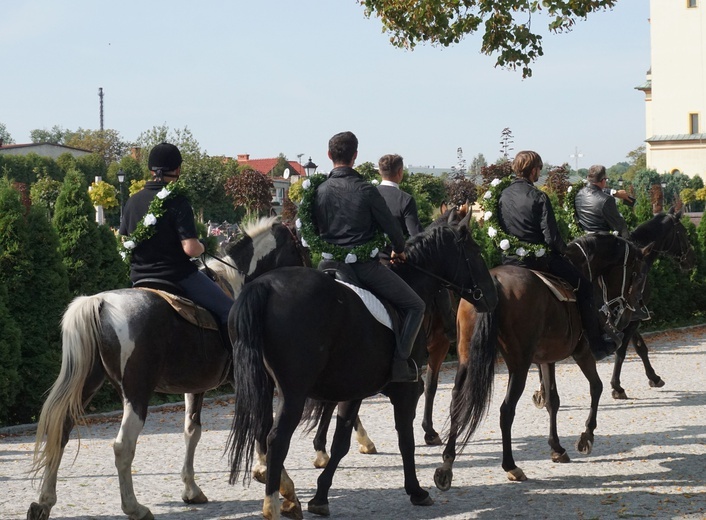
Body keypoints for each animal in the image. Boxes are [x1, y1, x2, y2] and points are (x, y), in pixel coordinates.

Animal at [27, 217, 308, 520]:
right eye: (301, 249)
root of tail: (100, 302)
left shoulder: (195, 387)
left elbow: (192, 431)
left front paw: (192, 489)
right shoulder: (254, 379)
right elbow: (261, 424)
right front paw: (281, 485)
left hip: (89, 383)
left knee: (61, 431)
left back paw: (44, 502)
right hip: (137, 392)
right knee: (123, 446)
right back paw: (135, 508)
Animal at [226, 219, 496, 520]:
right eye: (475, 253)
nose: (492, 297)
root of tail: (265, 286)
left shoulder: (354, 391)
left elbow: (341, 442)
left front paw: (320, 496)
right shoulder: (406, 390)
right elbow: (405, 439)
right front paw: (416, 490)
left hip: (265, 386)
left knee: (262, 430)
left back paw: (285, 491)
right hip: (293, 393)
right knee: (276, 438)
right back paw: (274, 503)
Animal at [432, 234, 652, 490]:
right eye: (639, 275)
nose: (633, 312)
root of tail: (494, 282)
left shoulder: (547, 360)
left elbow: (552, 401)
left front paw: (557, 448)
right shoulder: (582, 351)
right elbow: (596, 387)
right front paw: (586, 436)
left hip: (467, 360)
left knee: (457, 403)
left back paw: (446, 465)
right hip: (519, 365)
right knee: (506, 410)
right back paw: (511, 466)